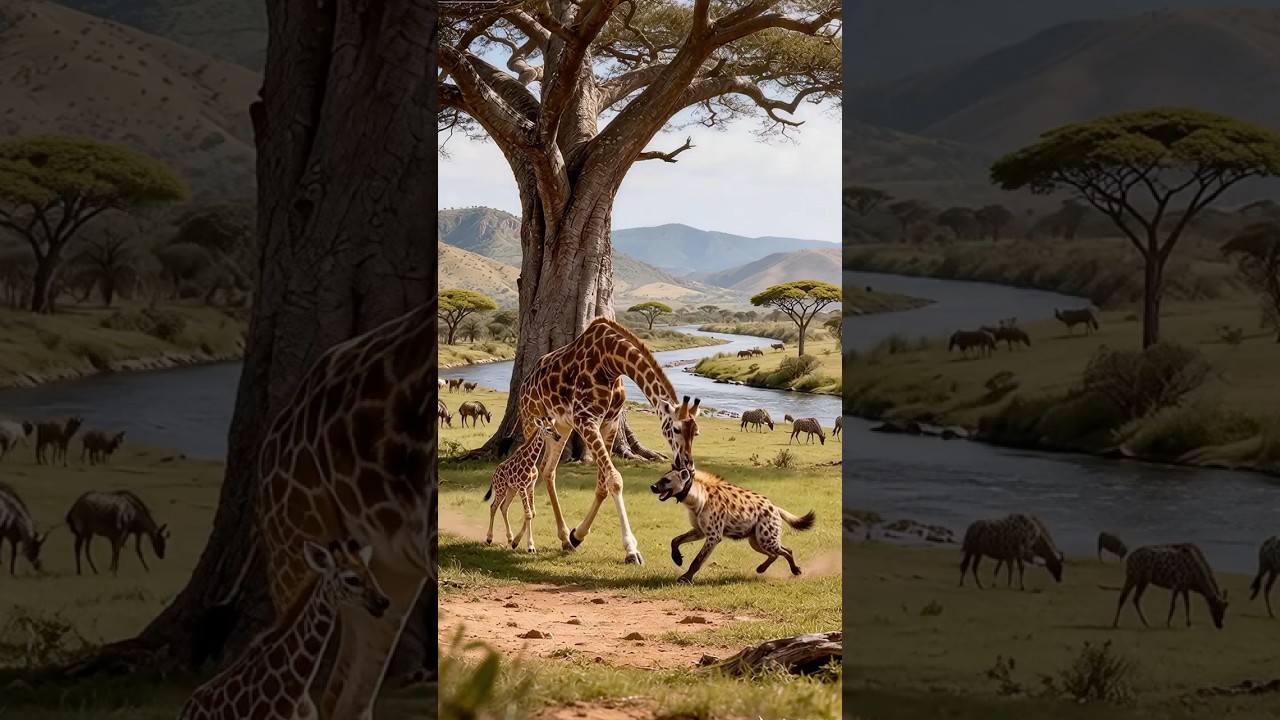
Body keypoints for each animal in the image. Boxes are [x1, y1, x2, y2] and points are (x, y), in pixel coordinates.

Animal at [485, 416, 561, 553]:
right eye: (548, 429)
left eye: (555, 427)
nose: (558, 436)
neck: (531, 462)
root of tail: (494, 475)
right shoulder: (522, 487)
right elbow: (528, 514)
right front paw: (530, 546)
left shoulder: (530, 486)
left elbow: (532, 513)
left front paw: (517, 542)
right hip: (501, 489)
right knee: (493, 507)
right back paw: (489, 538)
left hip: (511, 490)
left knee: (503, 507)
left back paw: (510, 538)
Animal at [517, 317, 702, 565]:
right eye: (675, 429)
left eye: (696, 432)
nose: (688, 466)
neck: (610, 361)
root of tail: (524, 384)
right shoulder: (586, 420)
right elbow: (615, 480)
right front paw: (631, 550)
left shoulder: (610, 422)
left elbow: (603, 486)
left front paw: (577, 535)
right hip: (530, 420)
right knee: (531, 471)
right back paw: (523, 540)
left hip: (559, 428)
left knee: (548, 471)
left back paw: (564, 538)